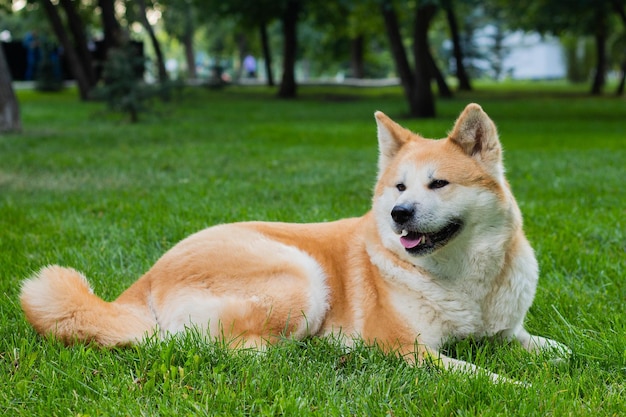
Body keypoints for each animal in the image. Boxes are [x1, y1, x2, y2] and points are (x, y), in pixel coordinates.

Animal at [19, 104, 564, 380]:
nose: (398, 214)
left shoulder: (504, 332)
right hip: (301, 277)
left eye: (439, 184)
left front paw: (556, 356)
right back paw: (312, 353)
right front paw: (512, 385)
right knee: (225, 348)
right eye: (399, 187)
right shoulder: (405, 348)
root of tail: (147, 276)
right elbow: (481, 374)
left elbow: (558, 350)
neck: (463, 279)